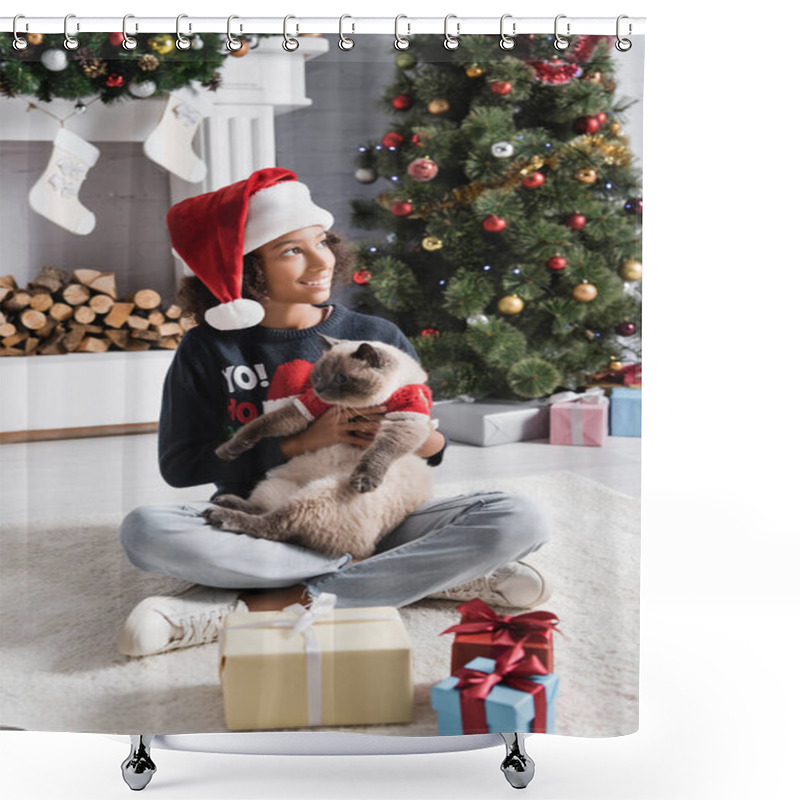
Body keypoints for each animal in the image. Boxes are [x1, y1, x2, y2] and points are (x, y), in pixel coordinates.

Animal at [203, 334, 434, 560]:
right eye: (319, 376)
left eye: (341, 378)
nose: (319, 389)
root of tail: (365, 551)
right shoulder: (308, 407)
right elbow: (260, 424)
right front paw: (226, 451)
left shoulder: (405, 420)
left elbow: (380, 451)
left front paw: (363, 481)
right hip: (274, 484)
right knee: (266, 512)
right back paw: (224, 502)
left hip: (320, 494)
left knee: (275, 526)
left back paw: (219, 515)